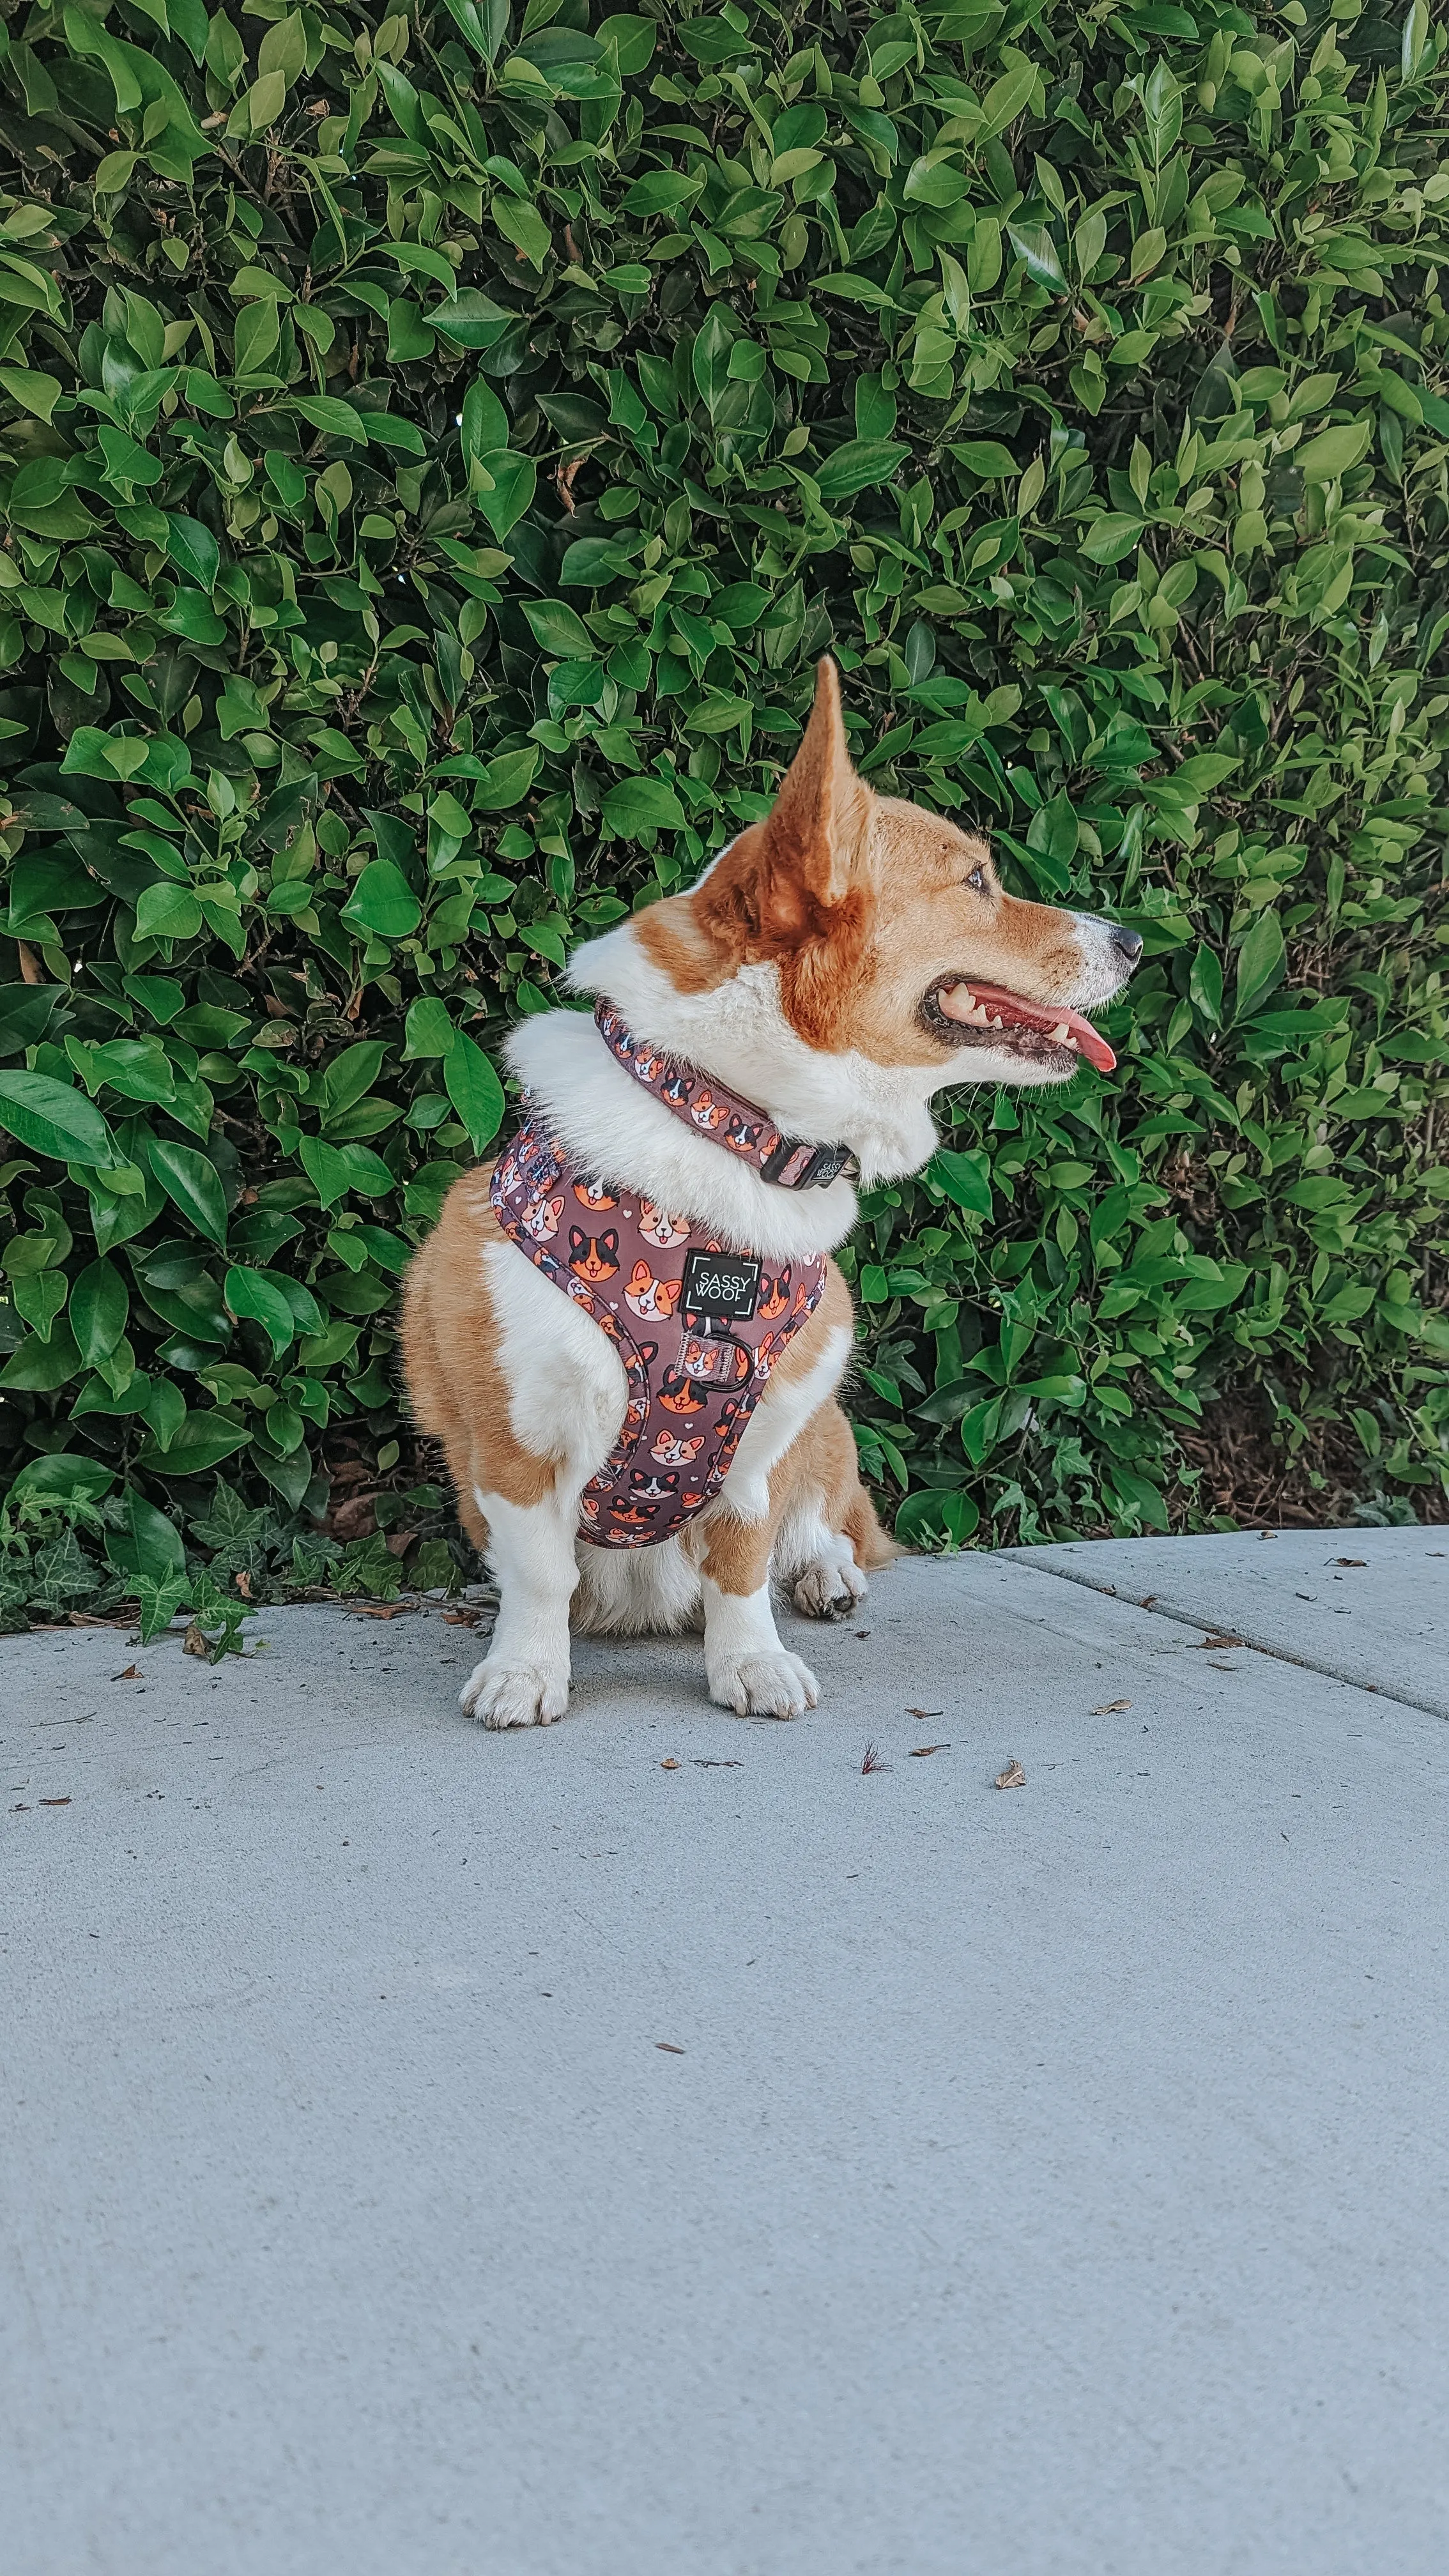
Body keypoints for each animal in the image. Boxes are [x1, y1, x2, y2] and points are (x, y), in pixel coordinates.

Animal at [399, 654, 1134, 1731]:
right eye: (976, 881)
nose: (1133, 940)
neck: (728, 1120)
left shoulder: (762, 1438)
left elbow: (743, 1562)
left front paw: (751, 1665)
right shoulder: (518, 1440)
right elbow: (538, 1575)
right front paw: (526, 1672)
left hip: (826, 1427)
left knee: (823, 1523)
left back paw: (827, 1578)